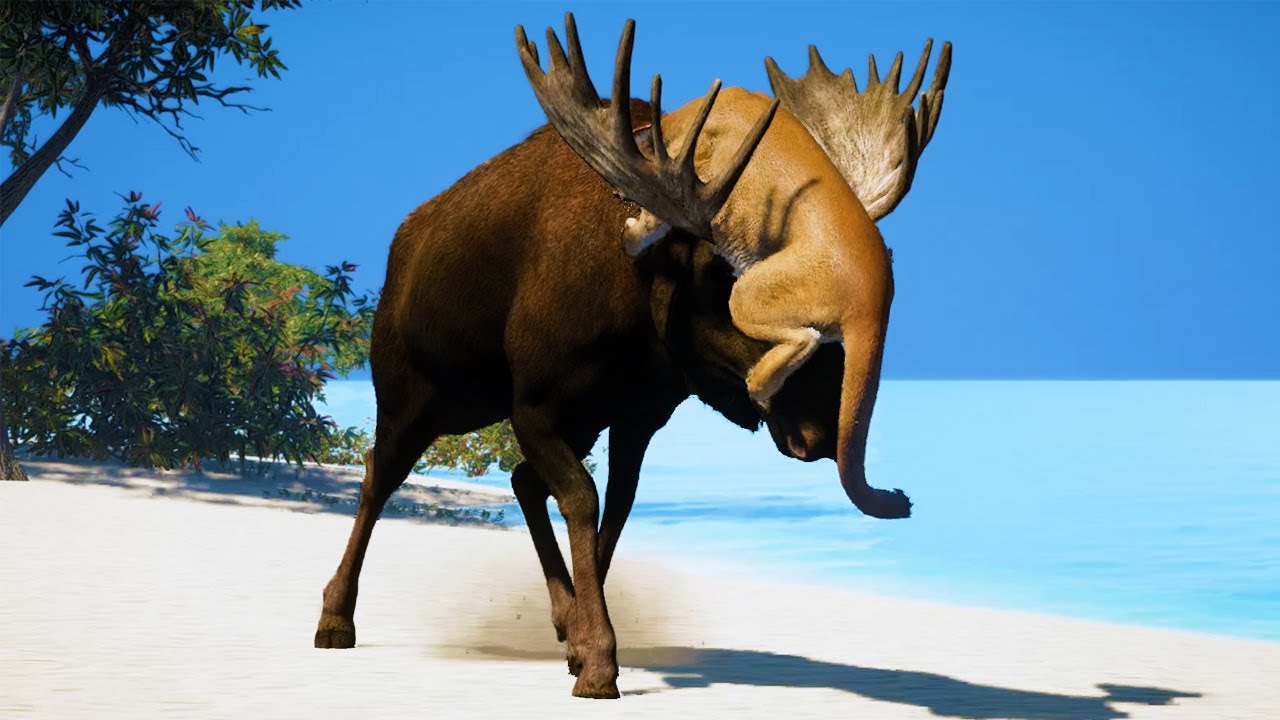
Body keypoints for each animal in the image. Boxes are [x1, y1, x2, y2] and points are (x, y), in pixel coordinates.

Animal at [517, 15, 950, 527]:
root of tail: (875, 294)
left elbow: (653, 222)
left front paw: (631, 233)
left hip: (748, 295)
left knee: (800, 338)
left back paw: (758, 385)